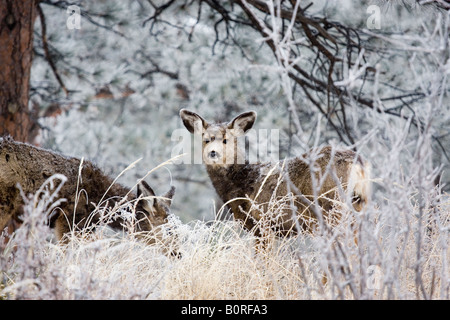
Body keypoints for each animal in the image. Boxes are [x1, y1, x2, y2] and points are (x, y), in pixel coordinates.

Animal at [179, 109, 372, 239]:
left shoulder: (263, 223)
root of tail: (358, 163)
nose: (213, 153)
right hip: (358, 204)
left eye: (226, 140)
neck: (244, 183)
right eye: (205, 140)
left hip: (333, 206)